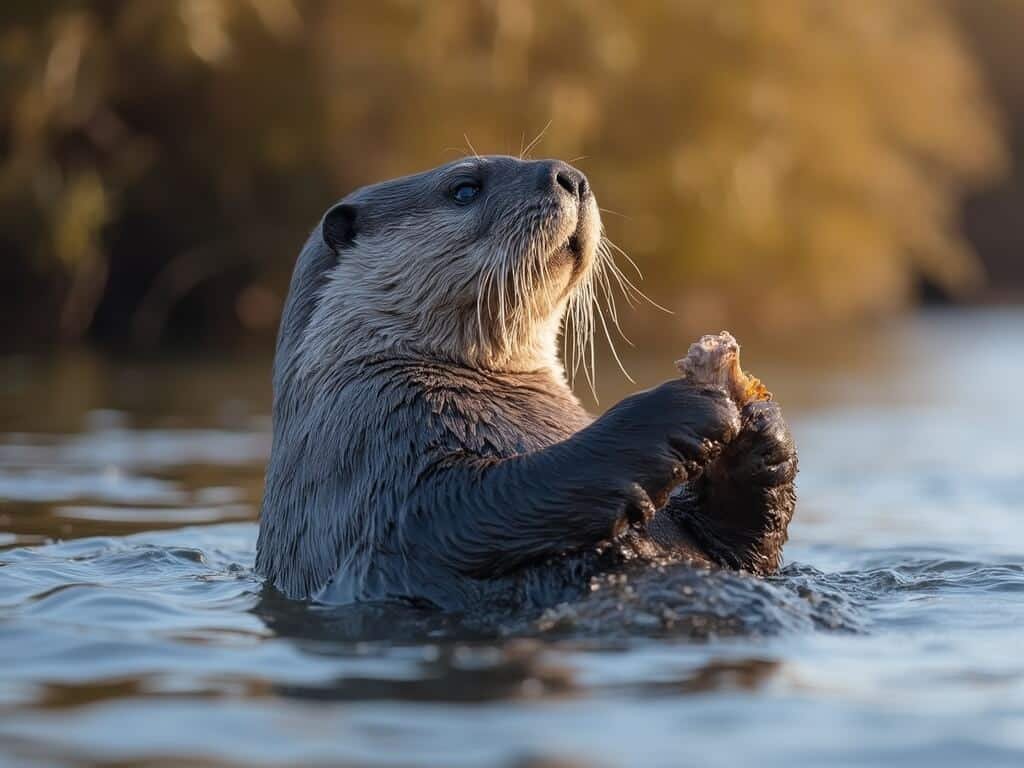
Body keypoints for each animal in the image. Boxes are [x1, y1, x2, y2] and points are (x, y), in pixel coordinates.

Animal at [255, 156, 797, 610]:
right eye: (464, 188)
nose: (571, 177)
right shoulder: (375, 452)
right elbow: (476, 503)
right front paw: (670, 410)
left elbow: (736, 545)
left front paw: (760, 430)